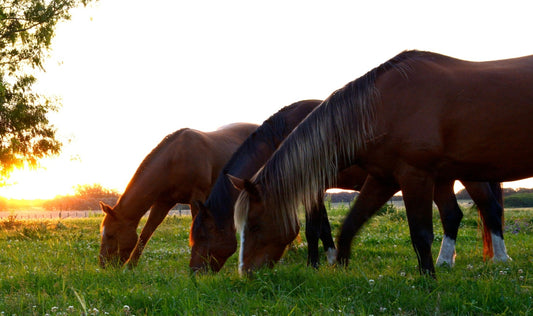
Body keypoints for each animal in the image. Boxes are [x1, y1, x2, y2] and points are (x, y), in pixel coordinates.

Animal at [100, 122, 260, 268]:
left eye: (110, 235)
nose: (103, 265)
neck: (174, 160)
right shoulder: (163, 202)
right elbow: (146, 232)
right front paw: (131, 266)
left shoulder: (197, 197)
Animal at [190, 101, 502, 272]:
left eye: (204, 235)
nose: (195, 274)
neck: (286, 135)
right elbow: (324, 227)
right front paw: (331, 259)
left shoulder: (312, 186)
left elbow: (314, 227)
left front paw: (314, 264)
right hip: (440, 179)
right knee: (452, 215)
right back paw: (446, 261)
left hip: (466, 176)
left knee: (489, 208)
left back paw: (500, 259)